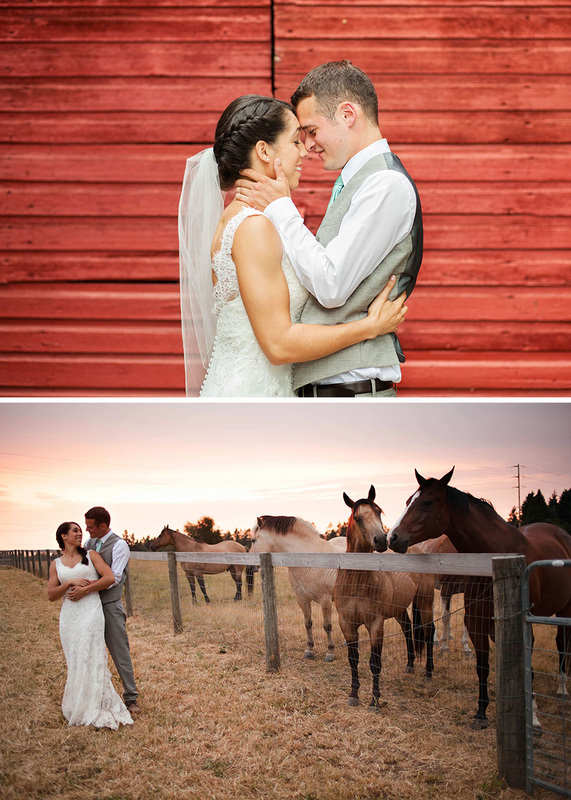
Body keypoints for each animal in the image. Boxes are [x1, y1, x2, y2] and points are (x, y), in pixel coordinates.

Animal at [249, 512, 346, 664]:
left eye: (253, 540)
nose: (250, 567)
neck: (308, 559)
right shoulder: (302, 598)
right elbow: (308, 623)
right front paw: (309, 650)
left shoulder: (325, 600)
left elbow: (327, 626)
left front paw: (330, 653)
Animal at [332, 488, 436, 708]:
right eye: (357, 517)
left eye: (378, 512)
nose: (381, 539)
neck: (357, 582)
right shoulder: (347, 623)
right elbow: (353, 659)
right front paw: (353, 695)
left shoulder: (375, 624)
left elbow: (374, 662)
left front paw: (374, 701)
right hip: (400, 609)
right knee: (407, 629)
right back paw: (410, 665)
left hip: (425, 601)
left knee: (429, 630)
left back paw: (428, 672)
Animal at [386, 468, 571, 732]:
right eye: (408, 501)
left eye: (427, 502)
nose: (392, 537)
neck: (492, 557)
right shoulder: (473, 613)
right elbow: (481, 663)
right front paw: (481, 712)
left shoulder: (516, 621)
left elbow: (527, 668)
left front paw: (533, 718)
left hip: (565, 608)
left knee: (561, 643)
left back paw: (562, 688)